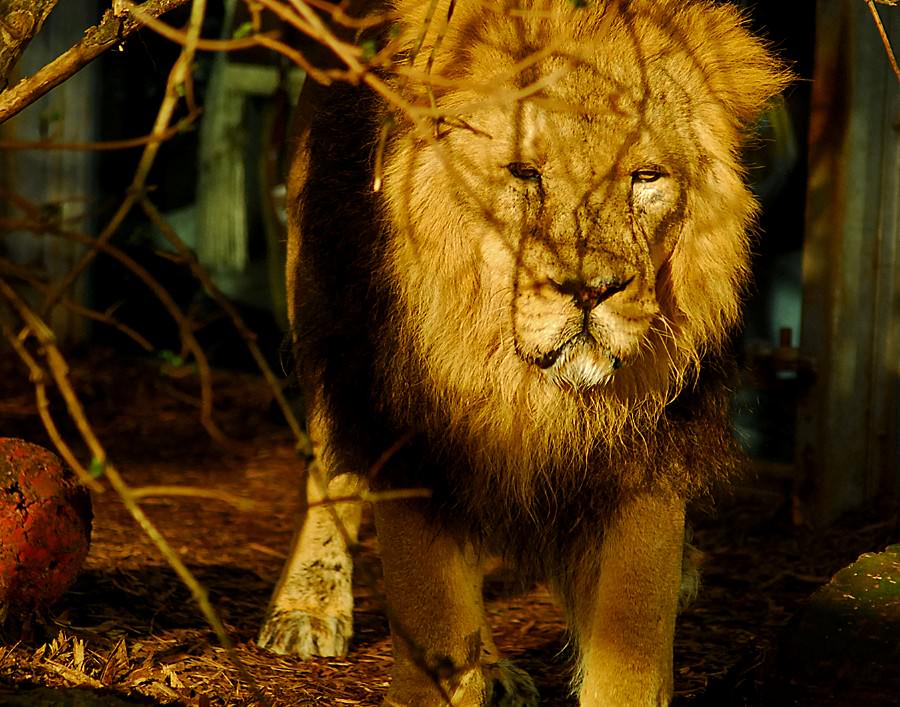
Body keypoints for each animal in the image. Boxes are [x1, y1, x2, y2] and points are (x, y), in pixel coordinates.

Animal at [258, 1, 789, 704]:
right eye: (525, 172)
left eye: (645, 177)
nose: (589, 290)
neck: (529, 388)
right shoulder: (416, 436)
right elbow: (432, 628)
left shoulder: (646, 463)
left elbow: (631, 655)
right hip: (323, 314)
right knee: (332, 462)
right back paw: (308, 608)